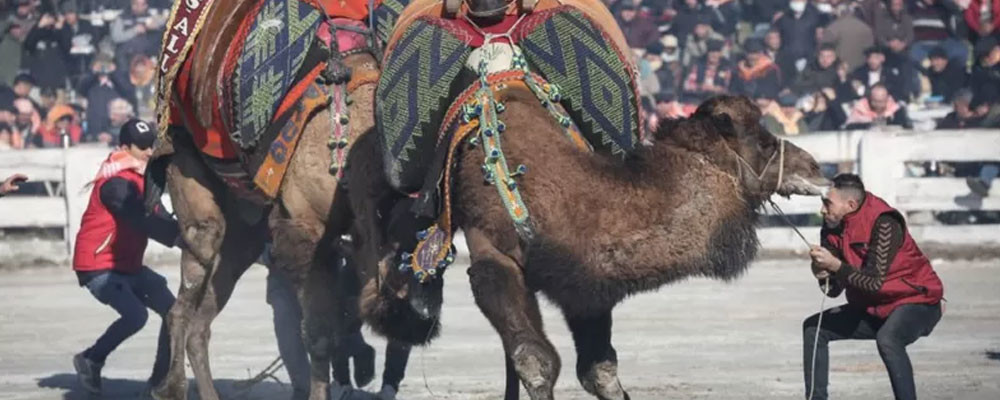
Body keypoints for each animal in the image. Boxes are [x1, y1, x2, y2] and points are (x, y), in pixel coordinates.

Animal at [344, 94, 828, 400]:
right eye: (763, 141)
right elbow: (537, 362)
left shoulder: (587, 289)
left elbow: (600, 371)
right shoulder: (492, 254)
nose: (817, 168)